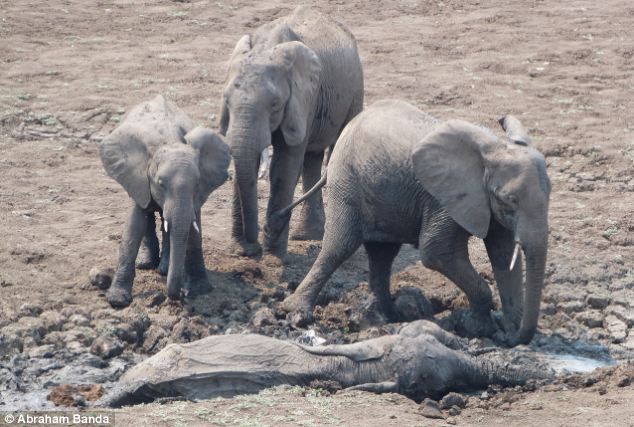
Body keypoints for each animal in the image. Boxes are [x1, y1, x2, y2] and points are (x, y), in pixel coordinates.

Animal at [100, 94, 232, 308]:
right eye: (160, 183)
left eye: (197, 184)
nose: (181, 295)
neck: (168, 140)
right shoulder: (138, 177)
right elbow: (134, 224)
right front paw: (117, 301)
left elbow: (193, 229)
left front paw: (200, 290)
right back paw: (147, 263)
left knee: (165, 219)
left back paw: (163, 268)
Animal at [220, 5, 362, 260]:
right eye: (226, 100)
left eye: (275, 104)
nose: (262, 232)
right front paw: (242, 252)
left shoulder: (304, 98)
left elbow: (285, 163)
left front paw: (274, 255)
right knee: (312, 157)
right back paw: (307, 236)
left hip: (355, 89)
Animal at [280, 100, 548, 348]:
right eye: (509, 200)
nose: (510, 338)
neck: (493, 149)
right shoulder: (444, 199)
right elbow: (437, 252)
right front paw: (479, 328)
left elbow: (503, 256)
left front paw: (506, 327)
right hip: (347, 182)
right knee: (339, 247)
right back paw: (297, 312)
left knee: (382, 254)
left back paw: (389, 316)